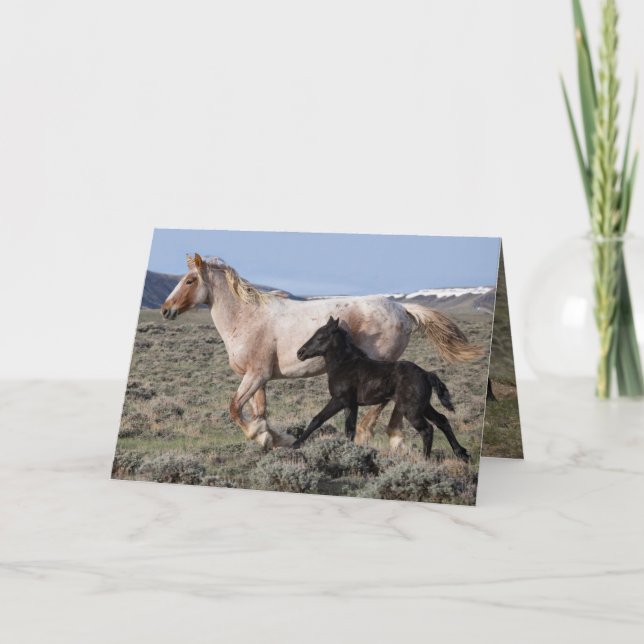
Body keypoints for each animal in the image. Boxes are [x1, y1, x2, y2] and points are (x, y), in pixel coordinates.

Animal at [293, 316, 470, 461]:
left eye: (320, 337)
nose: (300, 353)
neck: (345, 364)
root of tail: (426, 374)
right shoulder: (351, 405)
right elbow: (349, 430)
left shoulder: (340, 400)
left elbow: (318, 420)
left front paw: (295, 445)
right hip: (424, 406)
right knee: (442, 420)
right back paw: (461, 453)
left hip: (411, 409)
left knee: (427, 429)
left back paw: (425, 460)